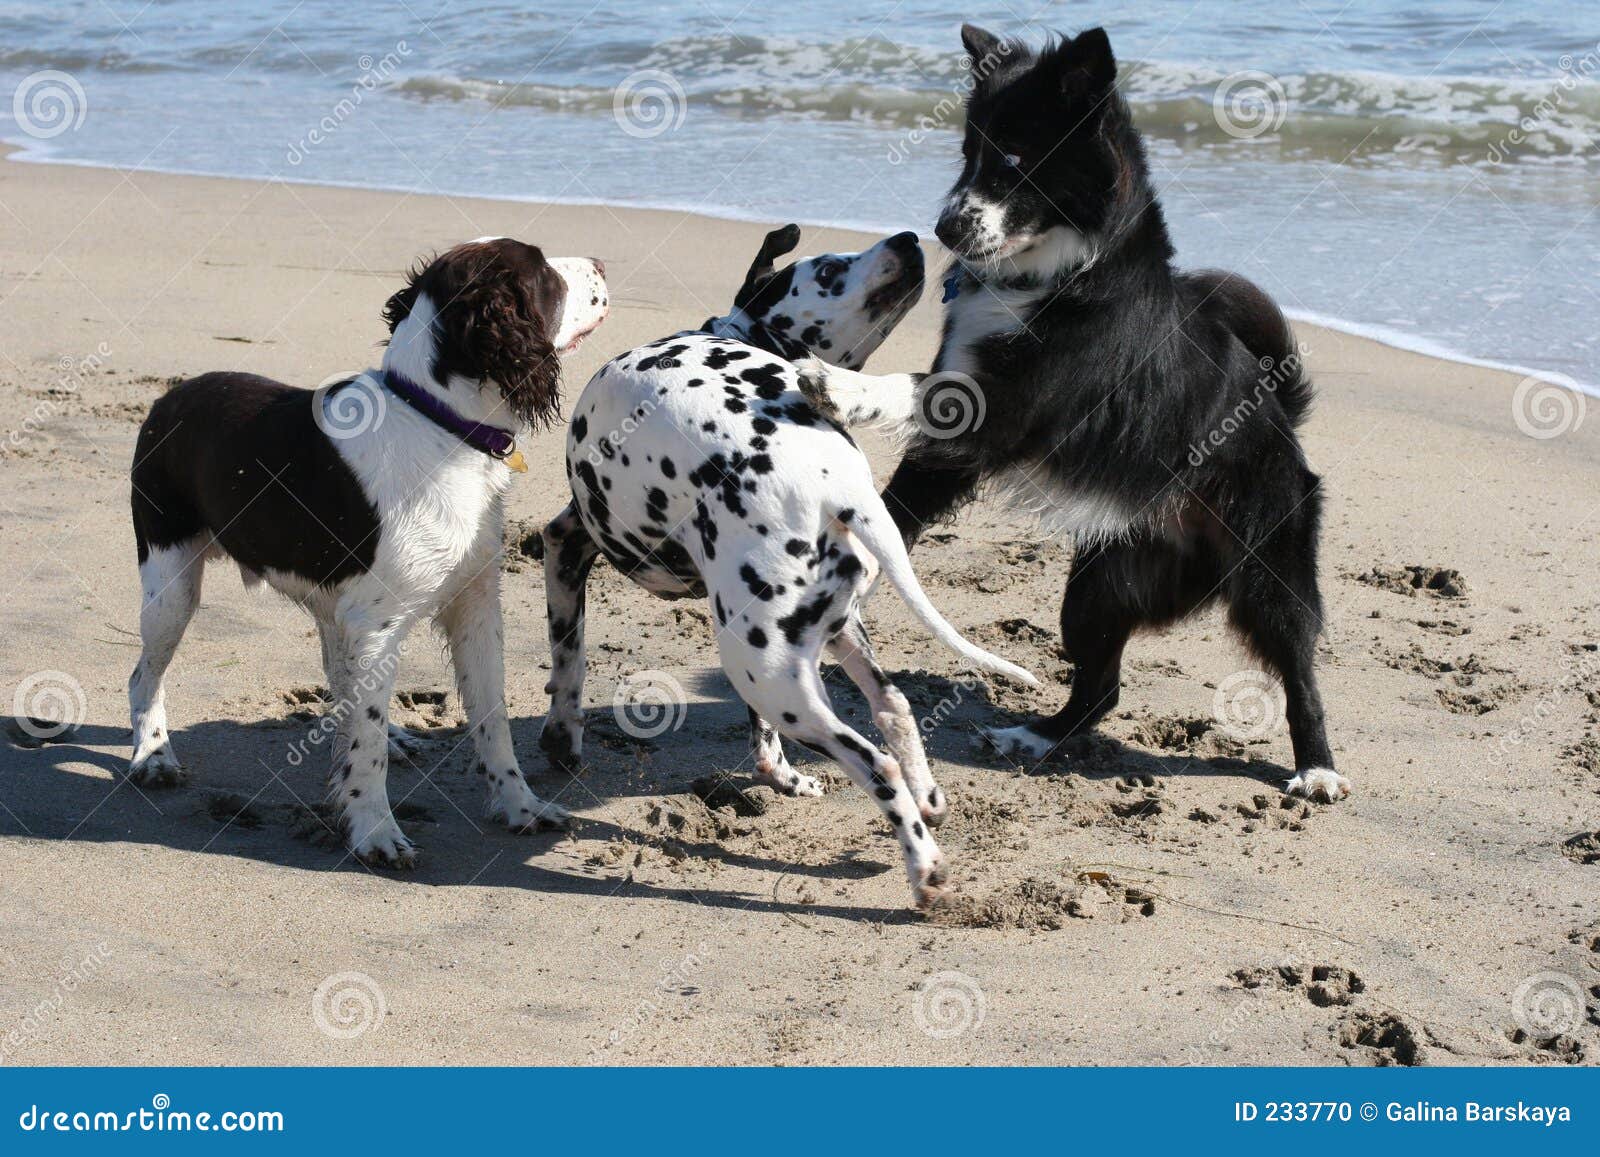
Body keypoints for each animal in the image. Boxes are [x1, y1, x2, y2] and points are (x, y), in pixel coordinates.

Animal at [126, 240, 604, 864]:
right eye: (545, 271)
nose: (602, 265)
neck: (438, 424)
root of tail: (169, 395)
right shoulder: (376, 622)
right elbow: (366, 744)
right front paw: (376, 832)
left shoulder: (473, 605)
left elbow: (490, 716)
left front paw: (521, 807)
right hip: (171, 581)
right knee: (144, 675)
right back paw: (154, 756)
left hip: (328, 600)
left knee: (340, 675)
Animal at [812, 27, 1350, 806]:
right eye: (968, 153)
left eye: (1014, 158)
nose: (942, 227)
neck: (1055, 275)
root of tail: (1284, 418)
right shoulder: (952, 448)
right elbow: (899, 504)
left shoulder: (1000, 412)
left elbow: (912, 386)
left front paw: (837, 383)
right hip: (1100, 585)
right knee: (1102, 686)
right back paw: (1032, 737)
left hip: (1266, 571)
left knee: (1297, 667)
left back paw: (1318, 767)